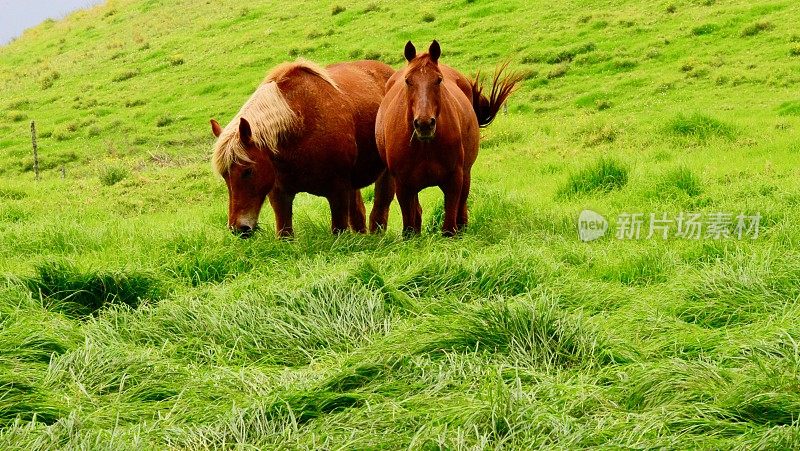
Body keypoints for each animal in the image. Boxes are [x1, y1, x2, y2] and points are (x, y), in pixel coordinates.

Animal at [211, 59, 396, 240]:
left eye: (248, 171)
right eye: (225, 176)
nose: (238, 228)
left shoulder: (339, 192)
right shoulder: (280, 196)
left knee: (380, 207)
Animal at [376, 40, 520, 237]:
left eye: (438, 80)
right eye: (407, 81)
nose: (424, 124)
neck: (425, 146)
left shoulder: (454, 178)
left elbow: (449, 225)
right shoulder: (403, 184)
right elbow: (409, 226)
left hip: (466, 174)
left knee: (462, 205)